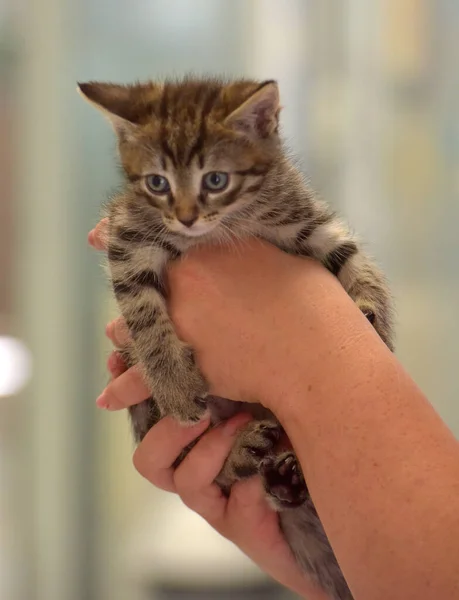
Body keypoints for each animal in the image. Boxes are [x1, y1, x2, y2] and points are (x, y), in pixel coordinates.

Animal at [79, 77, 396, 600]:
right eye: (157, 184)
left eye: (215, 180)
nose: (186, 217)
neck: (227, 222)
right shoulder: (128, 235)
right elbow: (142, 312)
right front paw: (174, 382)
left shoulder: (309, 221)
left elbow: (358, 262)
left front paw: (378, 324)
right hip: (144, 408)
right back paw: (249, 456)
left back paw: (284, 478)